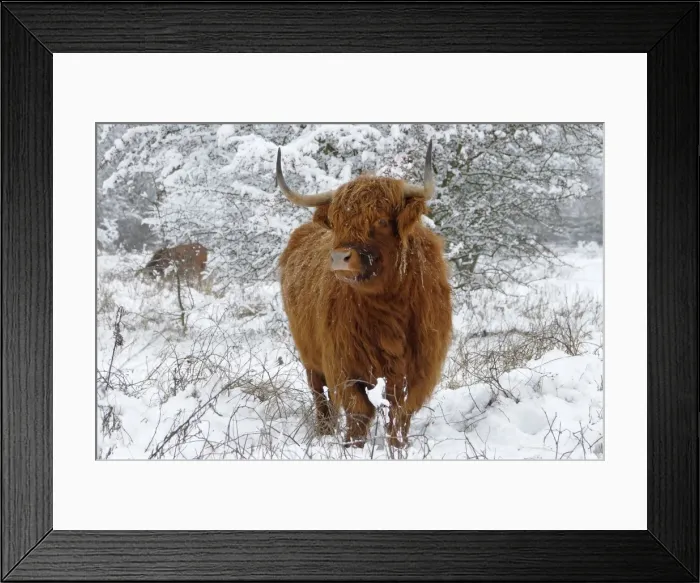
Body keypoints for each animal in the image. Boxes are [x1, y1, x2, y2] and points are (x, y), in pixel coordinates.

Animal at [275, 141, 453, 449]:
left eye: (381, 220)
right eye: (337, 221)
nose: (340, 258)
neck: (388, 307)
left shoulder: (419, 367)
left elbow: (400, 412)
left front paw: (398, 447)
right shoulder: (342, 362)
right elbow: (359, 410)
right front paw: (351, 446)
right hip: (309, 357)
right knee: (320, 398)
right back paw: (325, 432)